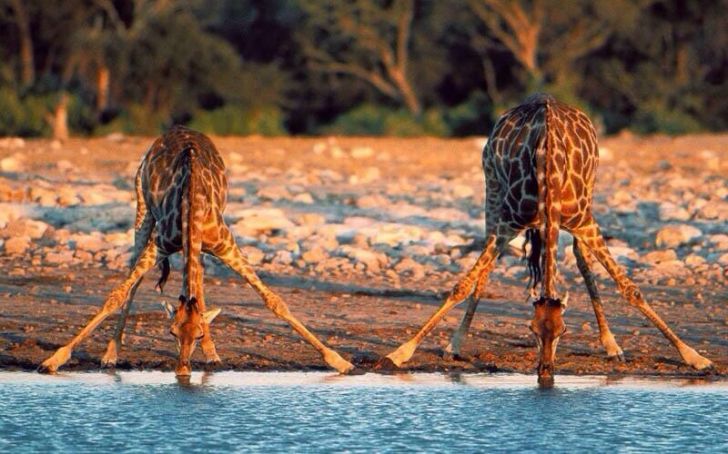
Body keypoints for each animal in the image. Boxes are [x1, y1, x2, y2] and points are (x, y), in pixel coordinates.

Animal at [38, 125, 354, 376]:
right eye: (171, 331)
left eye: (198, 333)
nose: (182, 370)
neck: (192, 203)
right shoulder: (161, 243)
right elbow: (117, 294)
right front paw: (54, 360)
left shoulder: (226, 245)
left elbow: (274, 301)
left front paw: (339, 361)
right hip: (143, 209)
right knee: (137, 277)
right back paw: (111, 354)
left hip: (196, 242)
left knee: (197, 284)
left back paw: (212, 354)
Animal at [378, 94, 712, 384]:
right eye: (532, 329)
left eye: (564, 331)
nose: (546, 373)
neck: (549, 167)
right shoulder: (507, 224)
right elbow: (462, 285)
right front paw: (400, 352)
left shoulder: (584, 222)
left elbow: (631, 290)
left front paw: (695, 357)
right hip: (492, 190)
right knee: (485, 268)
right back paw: (455, 344)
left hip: (588, 195)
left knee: (581, 258)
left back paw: (612, 345)